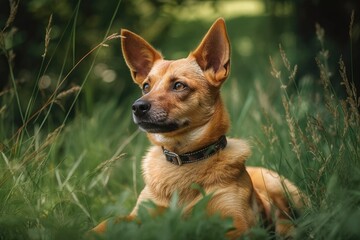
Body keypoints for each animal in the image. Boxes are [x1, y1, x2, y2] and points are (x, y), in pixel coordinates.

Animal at [93, 17, 304, 238]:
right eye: (146, 87)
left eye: (179, 85)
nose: (137, 107)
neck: (184, 158)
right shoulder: (139, 214)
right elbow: (108, 222)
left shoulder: (238, 224)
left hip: (283, 189)